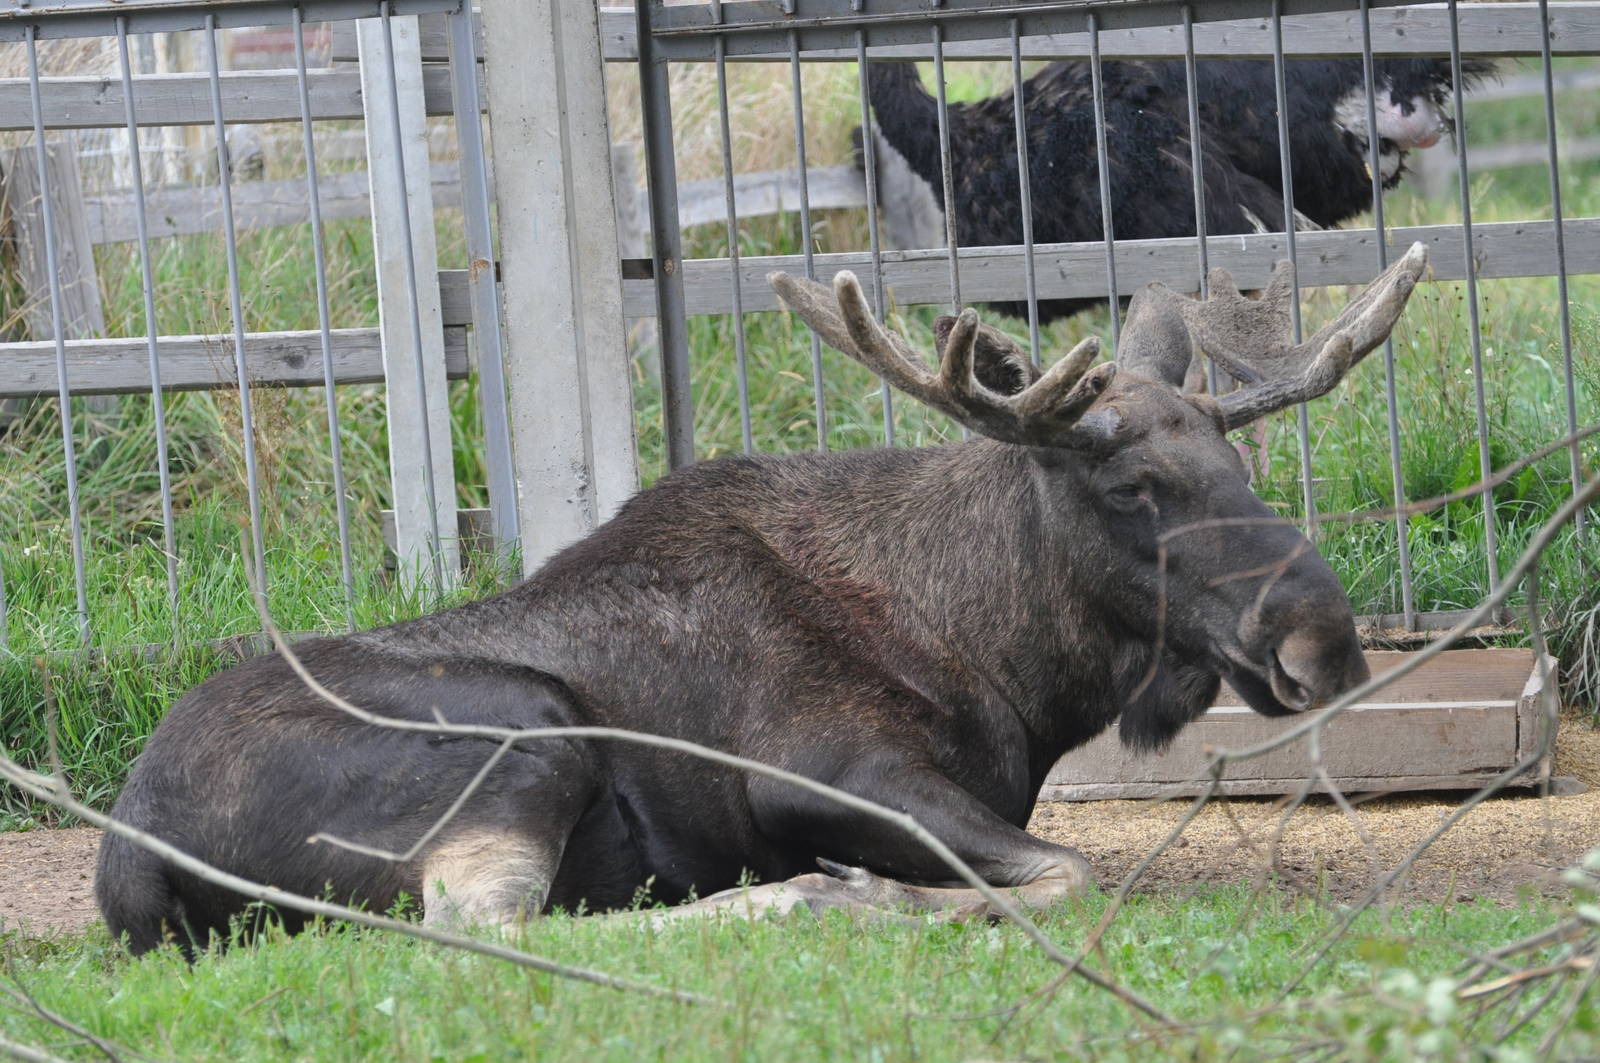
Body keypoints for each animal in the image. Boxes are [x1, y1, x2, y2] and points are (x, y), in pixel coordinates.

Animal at [95, 244, 1430, 953]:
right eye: (1134, 485)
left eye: (1238, 461)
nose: (1321, 643)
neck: (1002, 659)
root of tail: (127, 855)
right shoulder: (817, 770)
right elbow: (1068, 871)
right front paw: (870, 887)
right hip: (518, 731)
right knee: (478, 930)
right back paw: (803, 895)